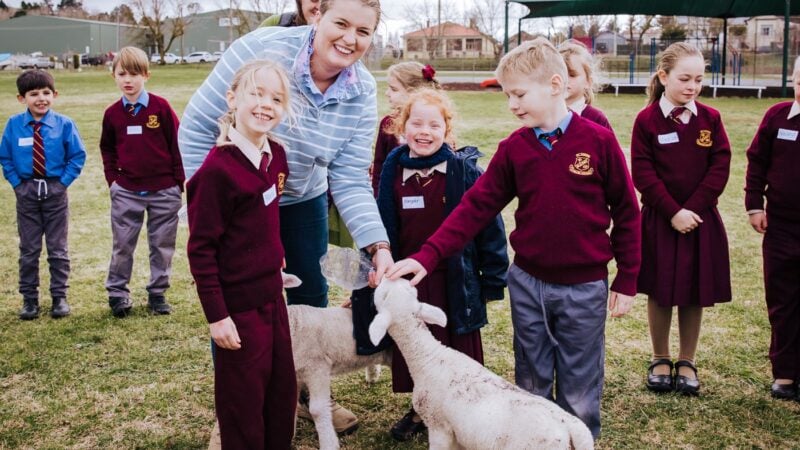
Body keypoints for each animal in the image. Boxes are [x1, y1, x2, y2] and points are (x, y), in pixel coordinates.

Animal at [368, 278, 592, 450]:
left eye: (383, 295)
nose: (385, 275)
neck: (427, 358)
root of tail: (572, 428)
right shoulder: (458, 434)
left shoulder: (439, 426)